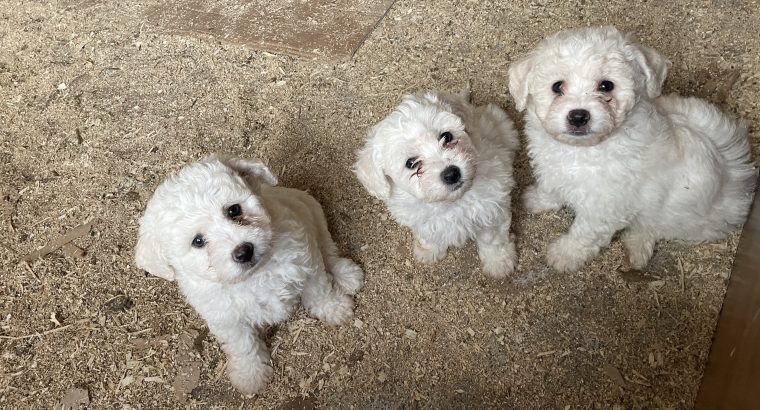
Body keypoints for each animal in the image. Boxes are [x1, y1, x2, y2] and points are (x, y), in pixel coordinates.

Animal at [135, 154, 364, 394]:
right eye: (197, 241)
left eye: (234, 210)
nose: (244, 251)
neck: (255, 275)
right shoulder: (226, 319)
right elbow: (243, 346)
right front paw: (250, 375)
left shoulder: (306, 262)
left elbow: (320, 291)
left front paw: (335, 308)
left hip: (312, 211)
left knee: (327, 247)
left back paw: (346, 275)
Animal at [354, 88, 520, 278]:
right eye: (411, 163)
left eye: (446, 136)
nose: (451, 174)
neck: (450, 203)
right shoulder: (422, 221)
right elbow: (429, 235)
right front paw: (428, 251)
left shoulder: (491, 210)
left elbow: (493, 240)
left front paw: (498, 263)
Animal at [508, 27, 756, 274]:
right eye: (557, 86)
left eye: (606, 86)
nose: (578, 116)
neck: (584, 150)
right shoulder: (554, 171)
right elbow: (550, 188)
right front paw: (537, 199)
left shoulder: (604, 207)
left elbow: (584, 234)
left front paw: (564, 255)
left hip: (679, 218)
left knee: (653, 227)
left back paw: (637, 249)